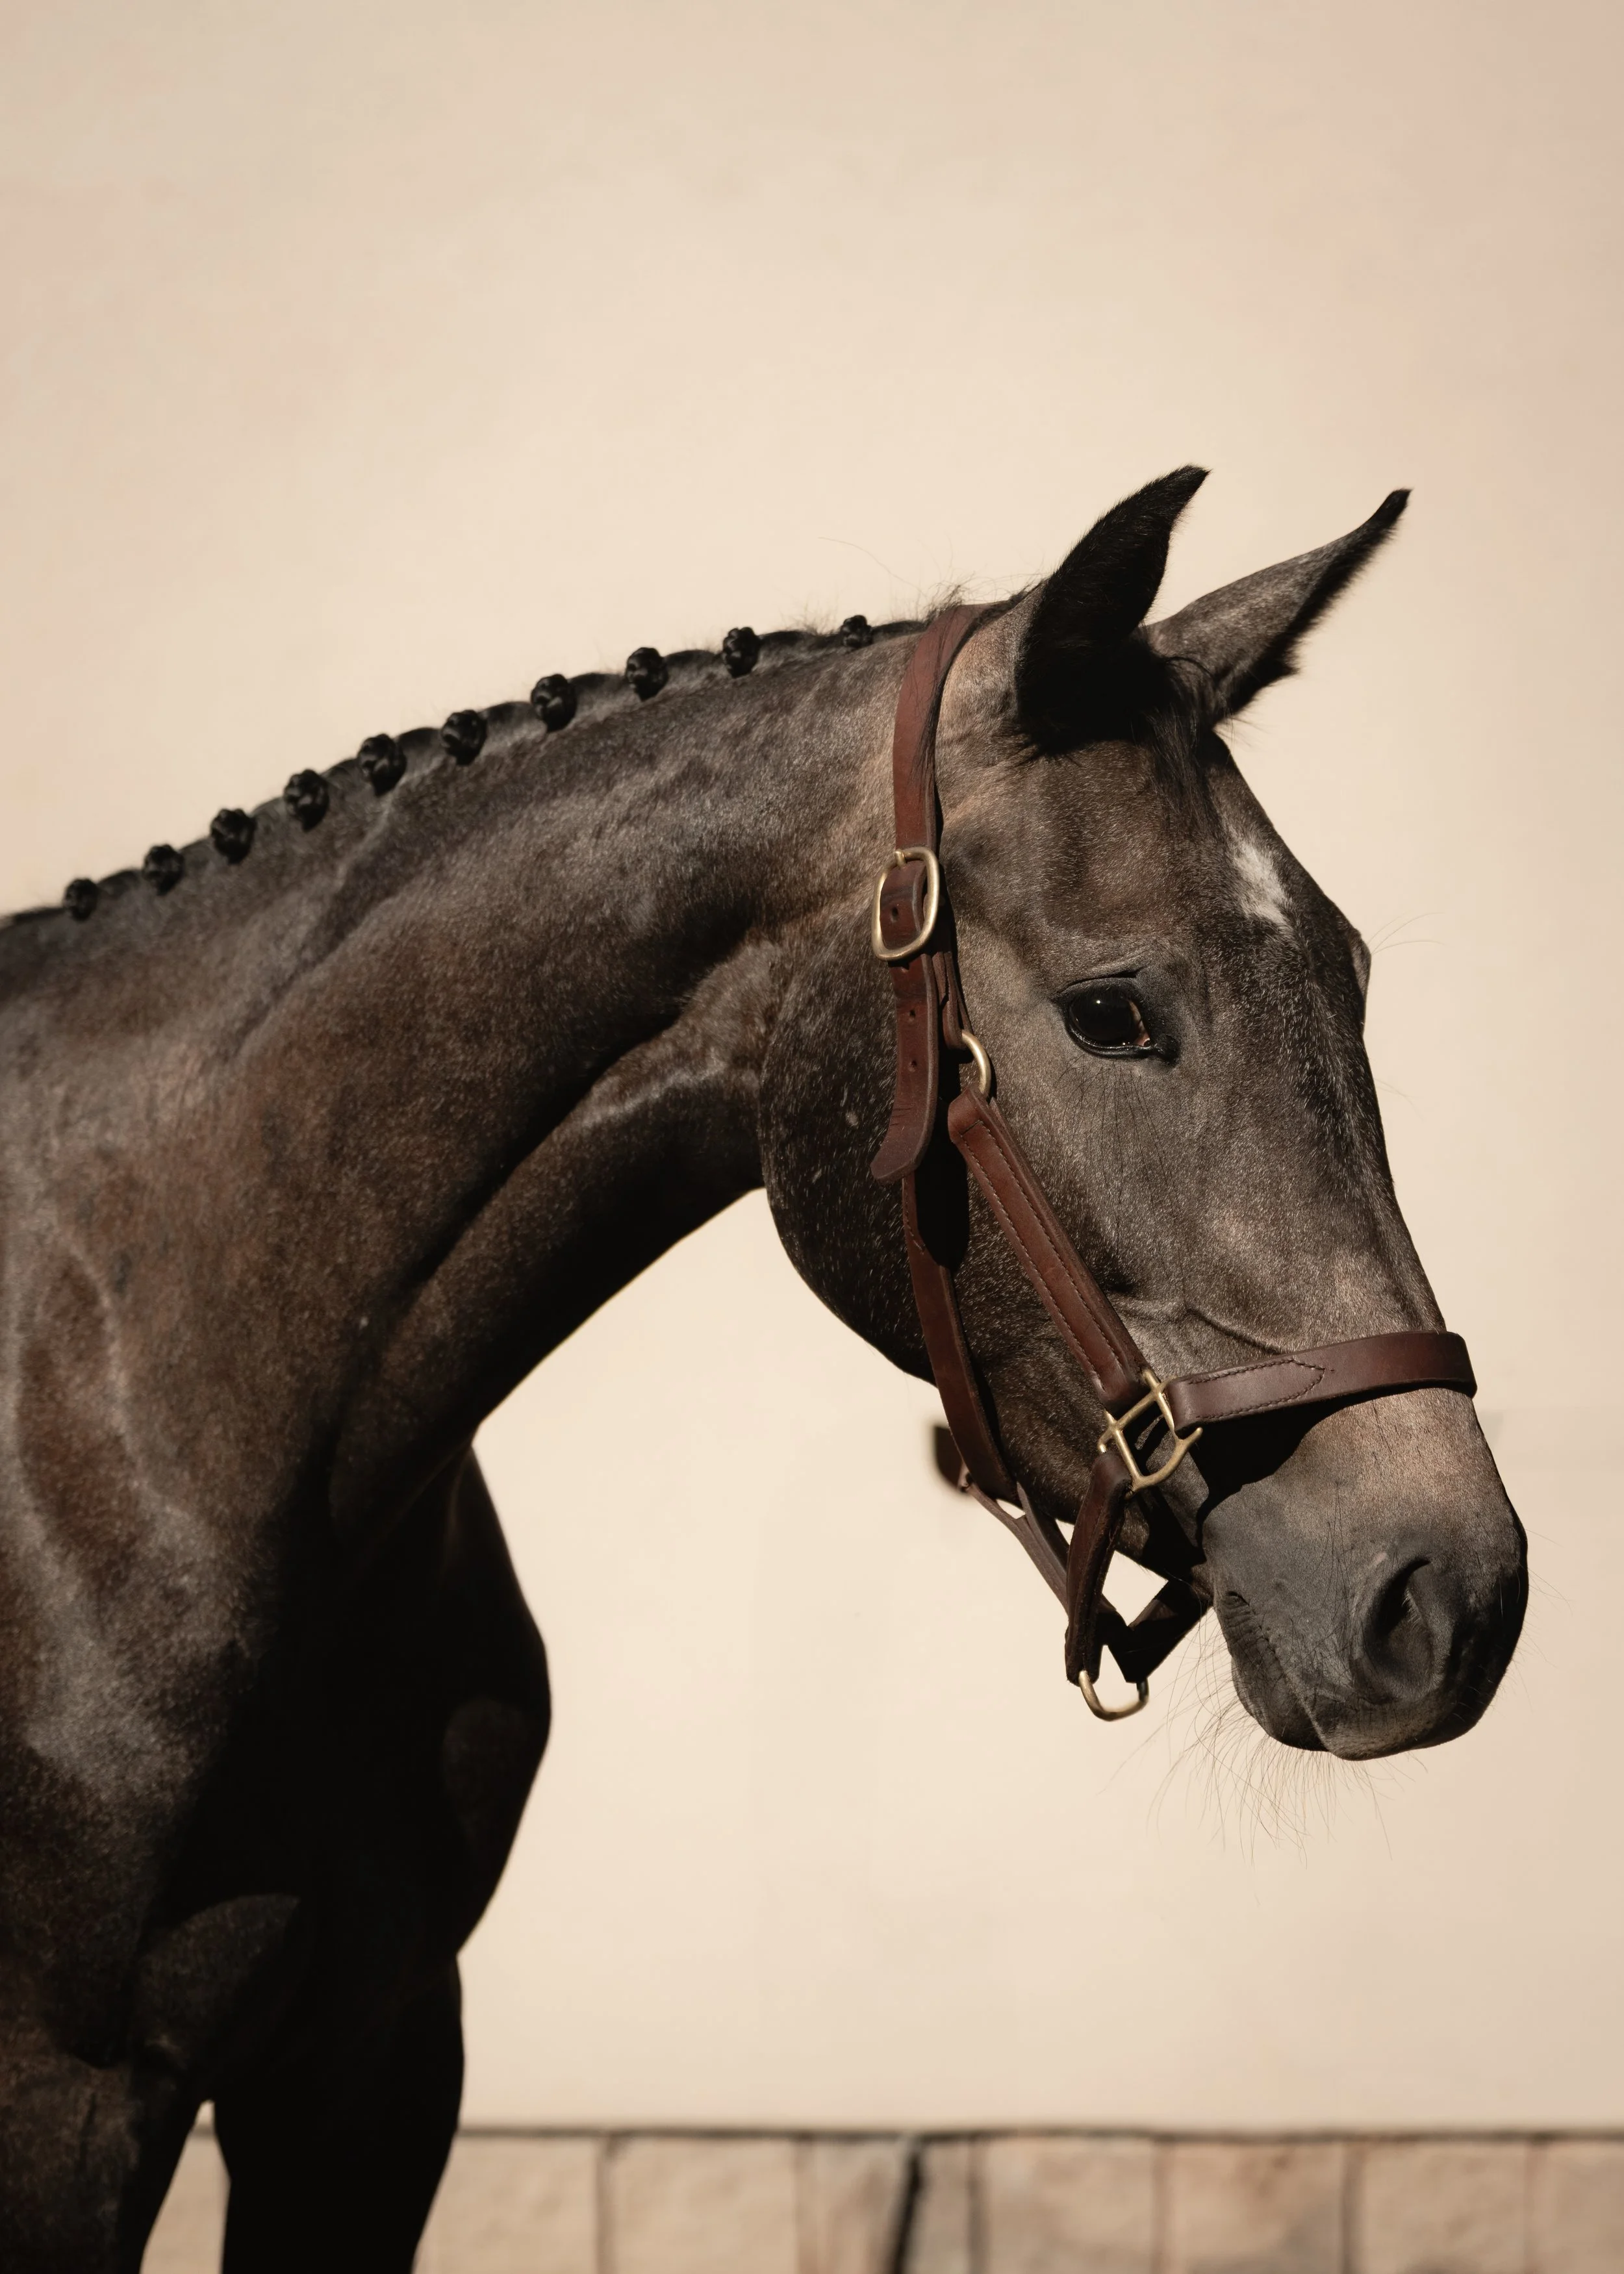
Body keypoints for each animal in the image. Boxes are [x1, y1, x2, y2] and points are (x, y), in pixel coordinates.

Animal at [0, 468, 1525, 2270]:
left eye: (1347, 975)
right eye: (1111, 1012)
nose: (1448, 1592)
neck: (156, 1400)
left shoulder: (373, 2061)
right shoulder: (66, 2102)